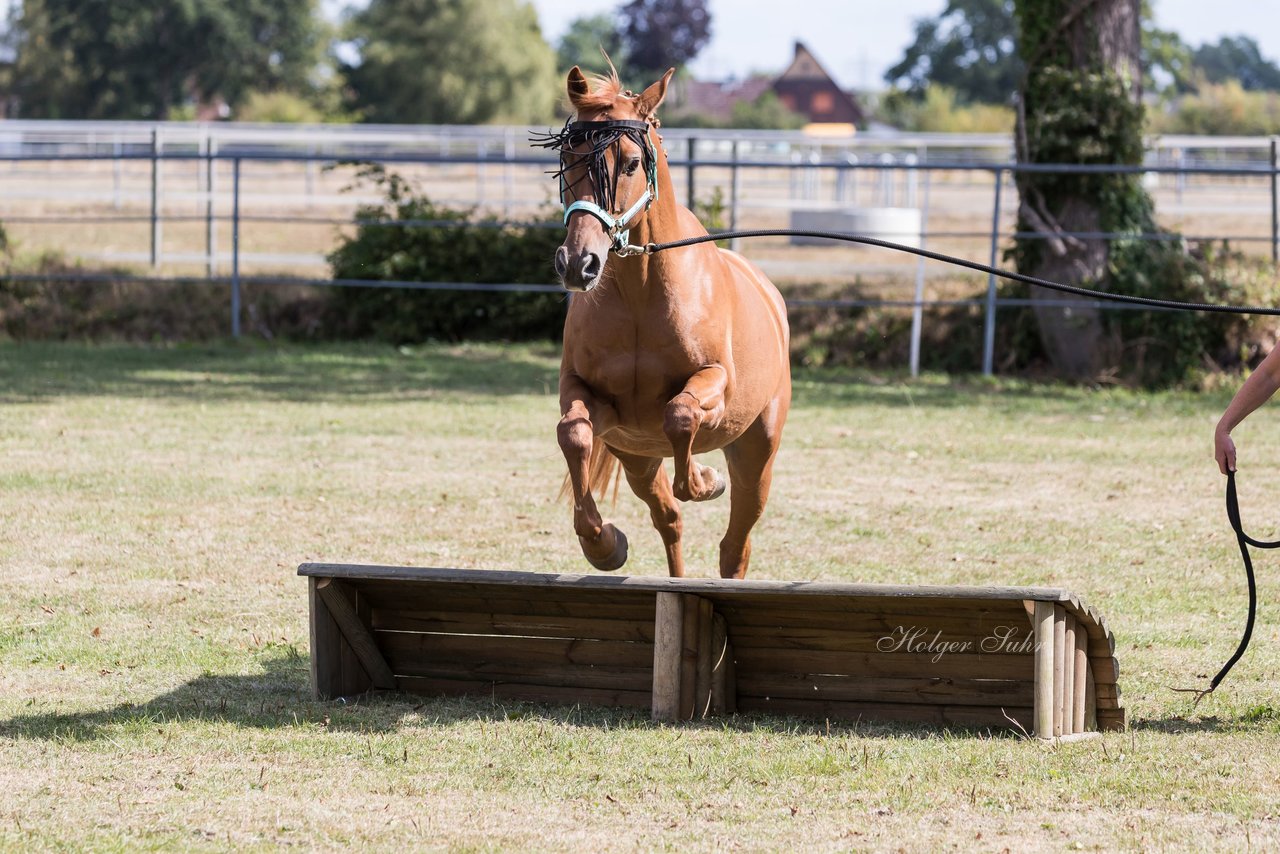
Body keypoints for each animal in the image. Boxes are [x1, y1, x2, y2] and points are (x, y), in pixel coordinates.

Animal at [532, 66, 788, 581]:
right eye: (568, 159)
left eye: (631, 163)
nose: (578, 264)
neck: (640, 293)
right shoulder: (591, 399)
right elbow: (573, 434)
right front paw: (603, 543)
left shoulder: (715, 382)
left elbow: (681, 414)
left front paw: (705, 478)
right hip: (637, 459)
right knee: (669, 518)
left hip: (756, 453)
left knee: (735, 545)